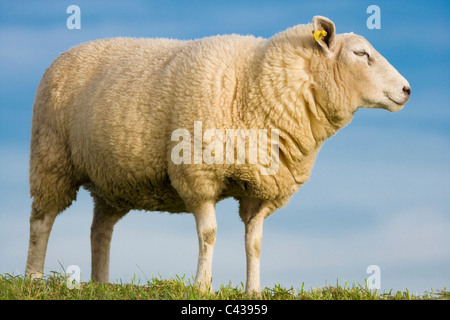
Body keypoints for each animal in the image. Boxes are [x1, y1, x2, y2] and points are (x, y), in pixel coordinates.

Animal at [25, 16, 412, 294]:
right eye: (361, 54)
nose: (407, 89)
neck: (255, 85)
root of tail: (66, 53)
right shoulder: (198, 174)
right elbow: (209, 234)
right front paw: (202, 286)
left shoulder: (263, 188)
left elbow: (254, 242)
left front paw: (253, 290)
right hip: (51, 157)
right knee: (42, 220)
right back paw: (33, 278)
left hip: (113, 180)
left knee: (100, 230)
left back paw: (101, 283)